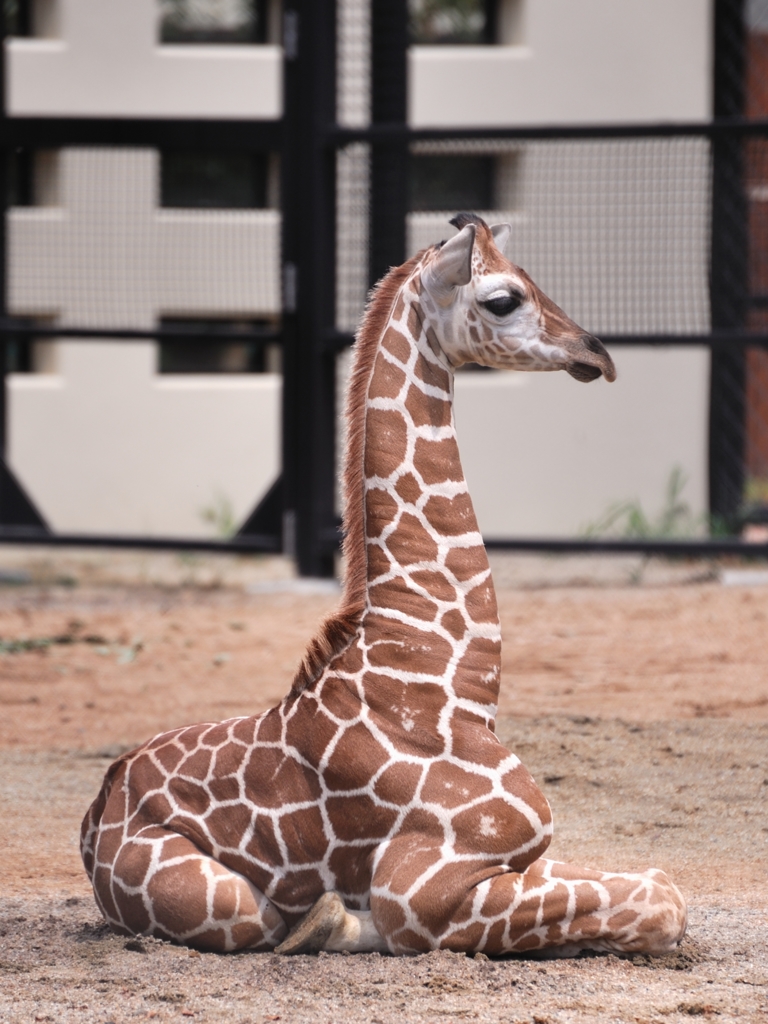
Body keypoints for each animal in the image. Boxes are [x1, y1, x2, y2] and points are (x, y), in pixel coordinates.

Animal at [81, 211, 688, 954]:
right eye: (504, 298)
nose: (596, 354)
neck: (450, 684)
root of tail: (93, 818)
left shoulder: (522, 859)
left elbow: (656, 882)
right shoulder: (420, 888)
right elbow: (662, 900)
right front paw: (335, 919)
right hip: (224, 901)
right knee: (260, 920)